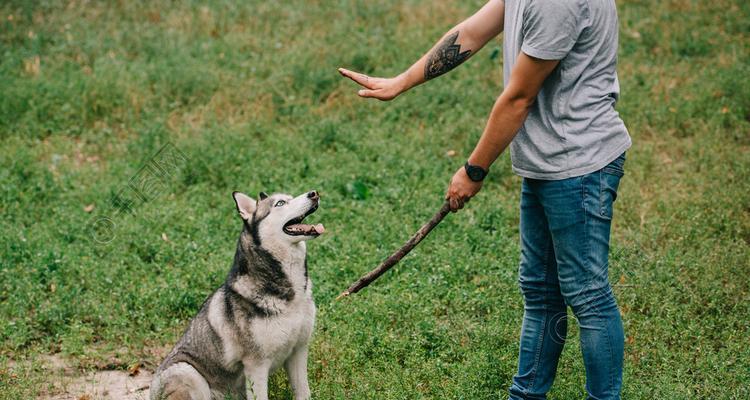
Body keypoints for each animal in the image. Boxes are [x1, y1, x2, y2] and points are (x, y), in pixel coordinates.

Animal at [151, 189, 328, 398]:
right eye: (280, 203)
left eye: (290, 197)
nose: (314, 193)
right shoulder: (256, 365)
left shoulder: (298, 351)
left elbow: (303, 391)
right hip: (188, 372)